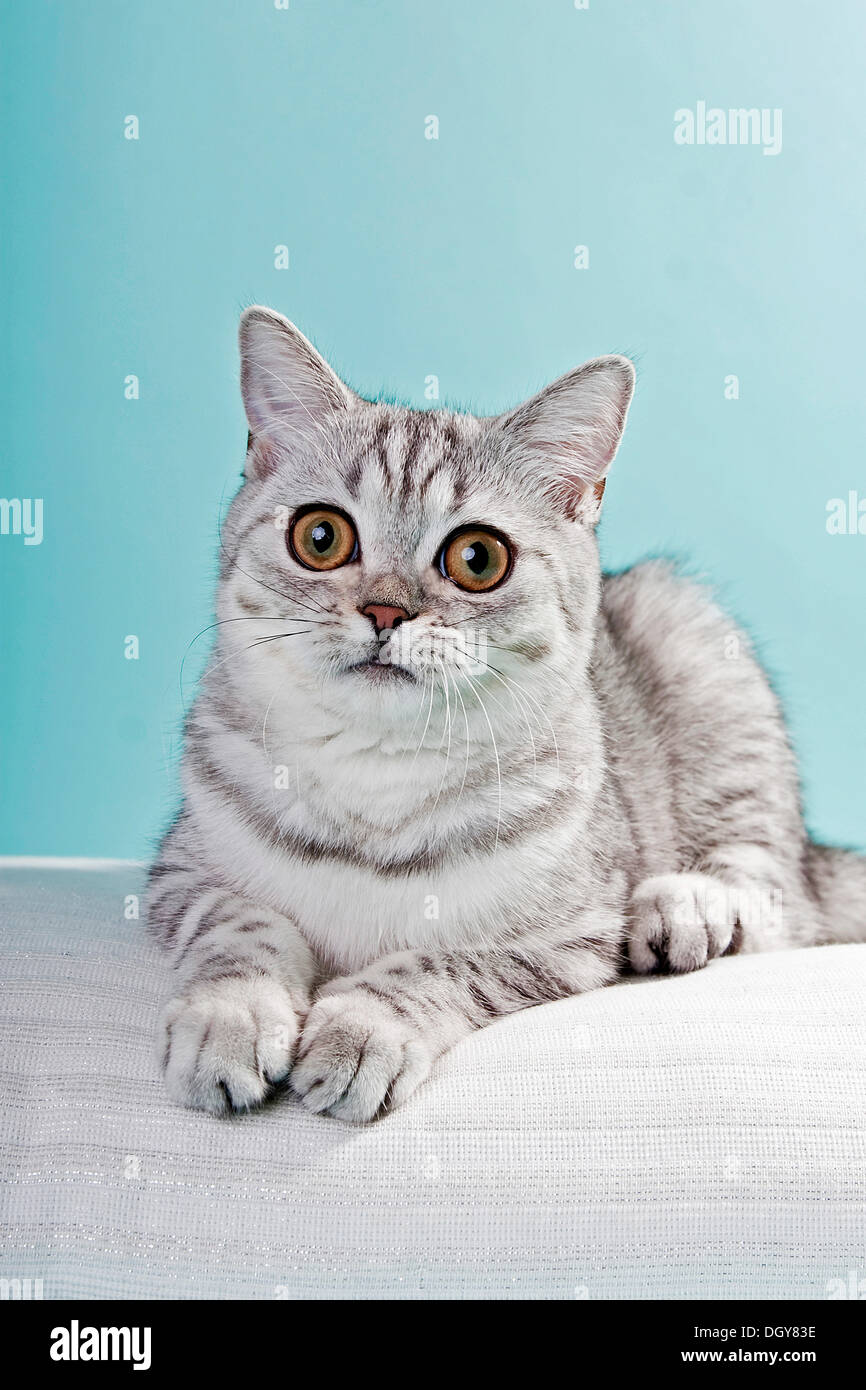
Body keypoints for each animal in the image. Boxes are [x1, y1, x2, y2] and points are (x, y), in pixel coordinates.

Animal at [147, 309, 866, 1123]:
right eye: (320, 536)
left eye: (477, 559)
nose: (385, 611)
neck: (374, 778)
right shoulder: (178, 877)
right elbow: (242, 928)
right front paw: (230, 1014)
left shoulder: (569, 936)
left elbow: (439, 965)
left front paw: (364, 1028)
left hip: (700, 653)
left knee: (780, 888)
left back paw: (685, 905)